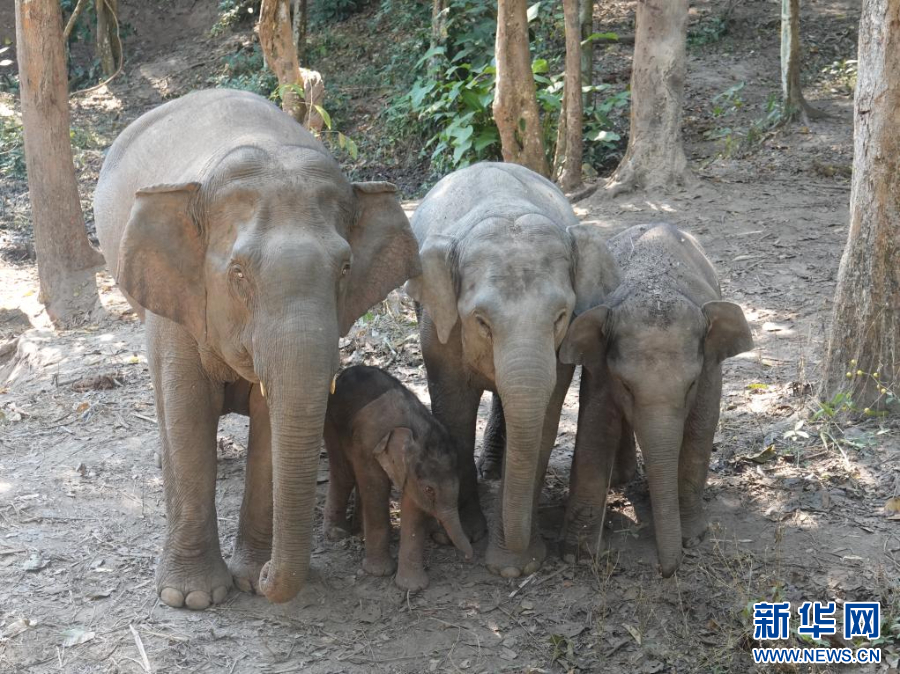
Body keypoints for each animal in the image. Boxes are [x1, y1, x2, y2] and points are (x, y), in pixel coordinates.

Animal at [93, 89, 421, 608]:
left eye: (346, 268)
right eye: (239, 273)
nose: (269, 576)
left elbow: (271, 424)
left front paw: (248, 579)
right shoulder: (177, 308)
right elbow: (187, 414)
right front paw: (193, 598)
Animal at [323, 365, 473, 591]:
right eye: (429, 490)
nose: (470, 556)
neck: (414, 429)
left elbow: (413, 506)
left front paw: (411, 587)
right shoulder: (370, 445)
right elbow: (376, 489)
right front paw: (379, 572)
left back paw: (359, 532)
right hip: (331, 423)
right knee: (343, 473)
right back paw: (336, 534)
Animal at [404, 162, 620, 578]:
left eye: (560, 316)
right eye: (481, 321)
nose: (519, 567)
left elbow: (546, 417)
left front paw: (515, 566)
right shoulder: (439, 328)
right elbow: (454, 410)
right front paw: (463, 536)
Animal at [559, 223, 754, 576]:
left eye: (690, 385)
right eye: (625, 385)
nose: (666, 570)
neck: (655, 286)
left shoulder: (710, 368)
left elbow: (700, 430)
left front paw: (693, 537)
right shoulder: (601, 368)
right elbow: (595, 429)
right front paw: (575, 555)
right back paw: (622, 478)